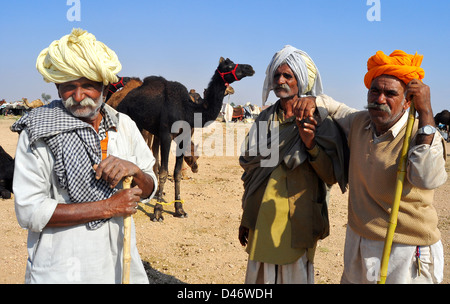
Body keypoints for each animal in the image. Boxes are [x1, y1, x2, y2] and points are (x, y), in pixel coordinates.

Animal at [116, 57, 255, 222]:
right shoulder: (166, 135)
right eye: (228, 65)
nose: (249, 68)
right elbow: (164, 172)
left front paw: (180, 210)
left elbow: (176, 173)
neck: (189, 110)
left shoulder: (184, 137)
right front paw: (158, 212)